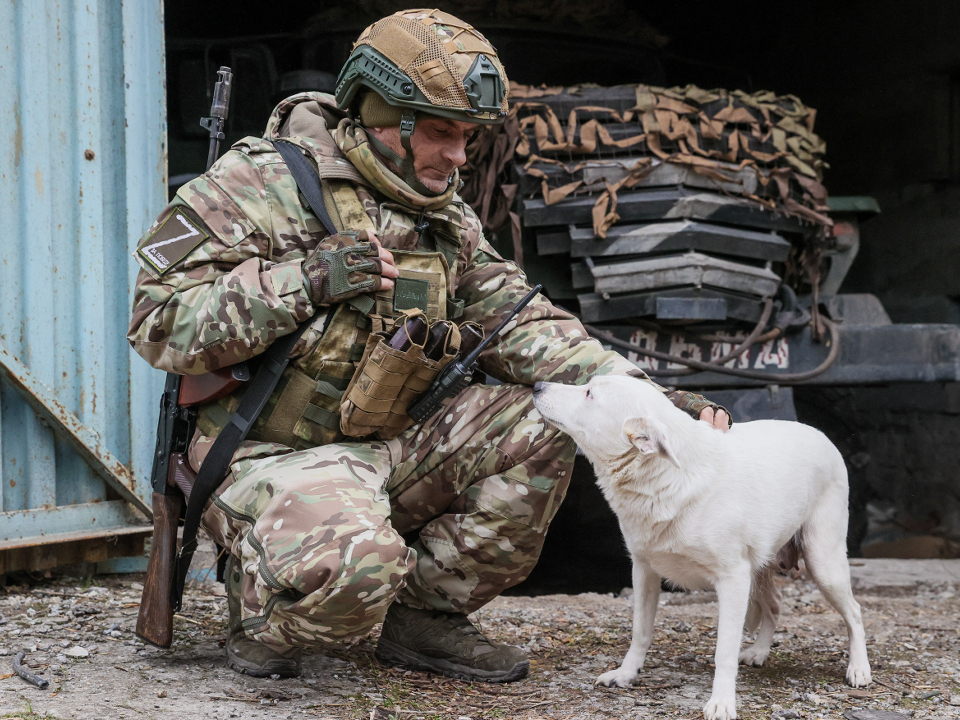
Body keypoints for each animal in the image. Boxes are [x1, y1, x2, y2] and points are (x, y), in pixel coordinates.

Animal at [532, 376, 872, 720]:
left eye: (589, 393)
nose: (537, 385)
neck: (666, 478)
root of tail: (820, 434)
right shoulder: (643, 570)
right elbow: (640, 632)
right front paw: (626, 674)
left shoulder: (733, 580)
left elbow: (724, 651)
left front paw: (721, 702)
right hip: (761, 569)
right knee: (775, 604)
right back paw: (760, 651)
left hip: (823, 564)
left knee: (855, 612)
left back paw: (859, 669)